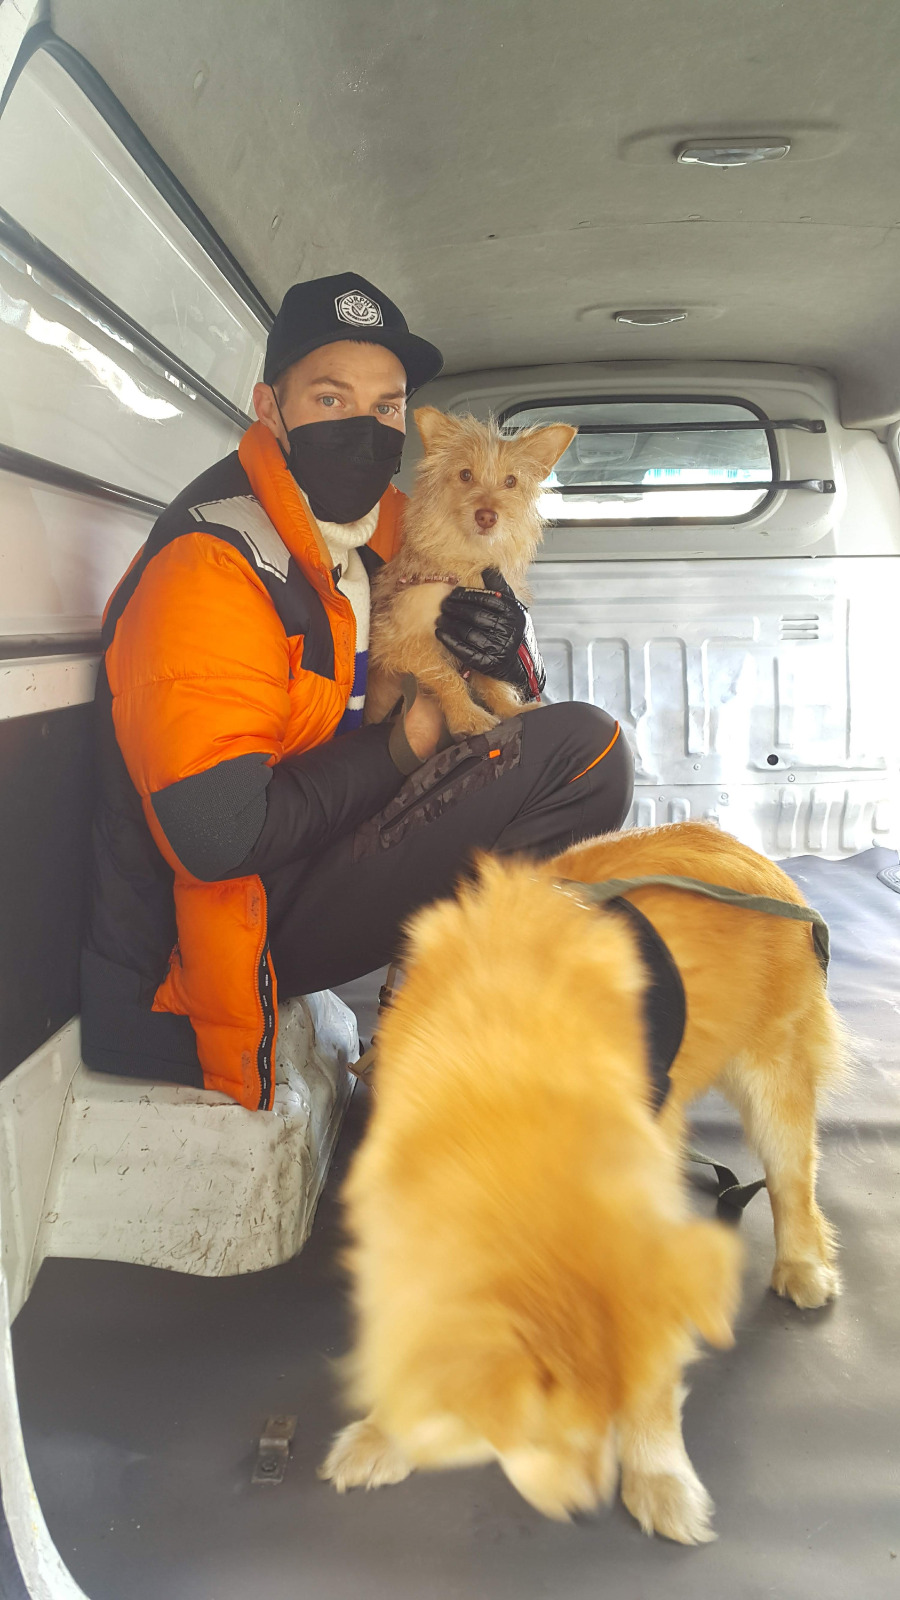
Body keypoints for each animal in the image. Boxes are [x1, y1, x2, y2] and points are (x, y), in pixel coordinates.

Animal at [320, 821, 844, 1542]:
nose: (586, 1506)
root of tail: (749, 849)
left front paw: (658, 1476)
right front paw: (385, 1435)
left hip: (774, 1078)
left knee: (795, 1182)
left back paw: (802, 1267)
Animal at [364, 407, 576, 737]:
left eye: (511, 481)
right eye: (465, 475)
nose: (486, 516)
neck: (469, 562)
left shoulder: (481, 638)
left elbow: (492, 676)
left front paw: (511, 710)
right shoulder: (394, 642)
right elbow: (444, 675)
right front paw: (468, 716)